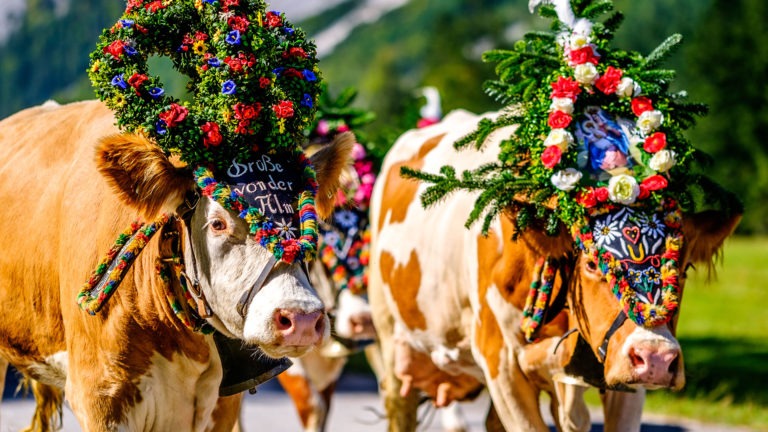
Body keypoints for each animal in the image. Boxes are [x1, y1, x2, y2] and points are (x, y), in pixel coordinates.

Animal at [368, 109, 740, 430]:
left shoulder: (622, 378)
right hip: (388, 336)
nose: (656, 357)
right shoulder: (500, 362)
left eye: (684, 268)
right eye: (591, 263)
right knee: (398, 405)